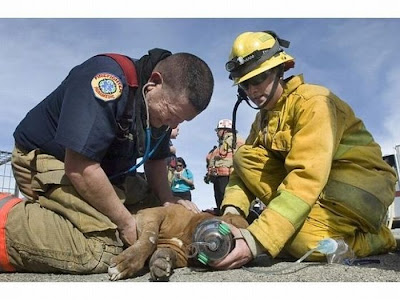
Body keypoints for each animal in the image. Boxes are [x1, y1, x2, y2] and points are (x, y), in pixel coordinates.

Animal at [108, 204, 248, 282]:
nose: (233, 245)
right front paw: (126, 262)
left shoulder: (178, 253)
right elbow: (150, 238)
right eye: (231, 222)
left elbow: (166, 252)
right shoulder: (153, 214)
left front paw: (161, 261)